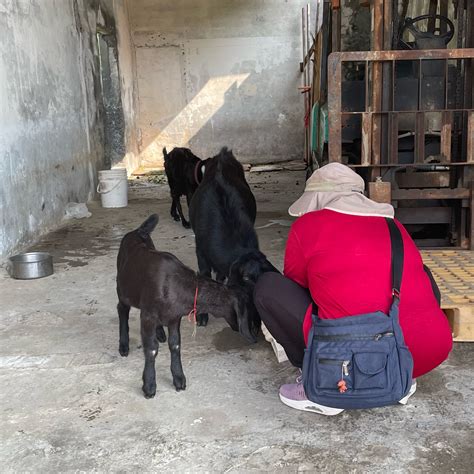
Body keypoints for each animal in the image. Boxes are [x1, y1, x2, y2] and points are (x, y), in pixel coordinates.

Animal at [116, 214, 258, 396]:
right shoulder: (148, 316)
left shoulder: (173, 318)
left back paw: (160, 333)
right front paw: (149, 386)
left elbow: (175, 344)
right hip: (123, 288)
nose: (255, 334)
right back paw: (123, 345)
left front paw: (179, 379)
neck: (175, 284)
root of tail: (137, 231)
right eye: (250, 310)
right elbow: (151, 349)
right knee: (122, 309)